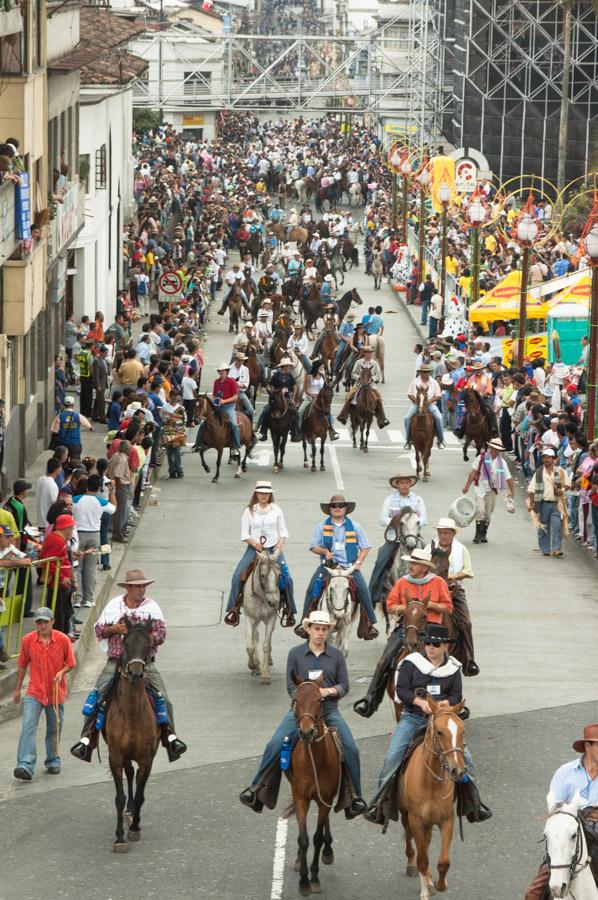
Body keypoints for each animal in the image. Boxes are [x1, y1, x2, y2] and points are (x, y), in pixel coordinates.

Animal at [243, 548, 282, 688]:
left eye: (280, 575)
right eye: (263, 575)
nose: (273, 601)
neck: (261, 596)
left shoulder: (271, 619)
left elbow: (266, 645)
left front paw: (265, 675)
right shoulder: (249, 618)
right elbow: (250, 646)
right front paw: (253, 665)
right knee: (255, 636)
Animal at [400, 700, 472, 896]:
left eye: (462, 730)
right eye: (439, 732)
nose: (458, 771)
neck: (431, 782)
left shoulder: (447, 820)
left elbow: (444, 861)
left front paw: (440, 884)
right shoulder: (416, 820)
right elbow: (423, 859)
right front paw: (425, 891)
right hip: (405, 814)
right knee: (411, 841)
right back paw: (413, 867)